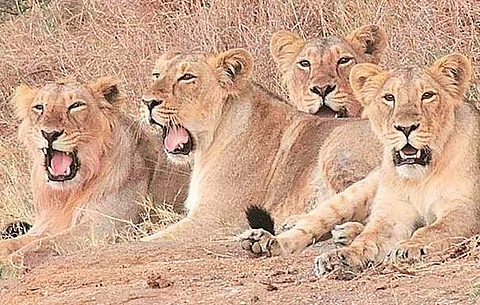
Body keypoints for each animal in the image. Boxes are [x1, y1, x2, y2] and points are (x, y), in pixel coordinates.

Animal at [0, 77, 188, 262]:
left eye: (76, 105)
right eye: (39, 107)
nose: (49, 134)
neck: (67, 194)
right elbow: (12, 243)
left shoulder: (105, 226)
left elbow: (37, 246)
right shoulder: (45, 225)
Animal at [140, 48, 382, 242]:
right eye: (156, 75)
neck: (209, 142)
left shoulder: (216, 219)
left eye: (187, 77)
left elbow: (145, 241)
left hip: (335, 146)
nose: (147, 102)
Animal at [237, 53, 480, 276]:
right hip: (352, 193)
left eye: (427, 95)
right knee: (309, 226)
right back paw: (265, 241)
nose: (405, 127)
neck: (421, 175)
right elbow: (368, 239)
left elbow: (434, 230)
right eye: (389, 97)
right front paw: (339, 258)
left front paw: (410, 248)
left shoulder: (464, 208)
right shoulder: (392, 213)